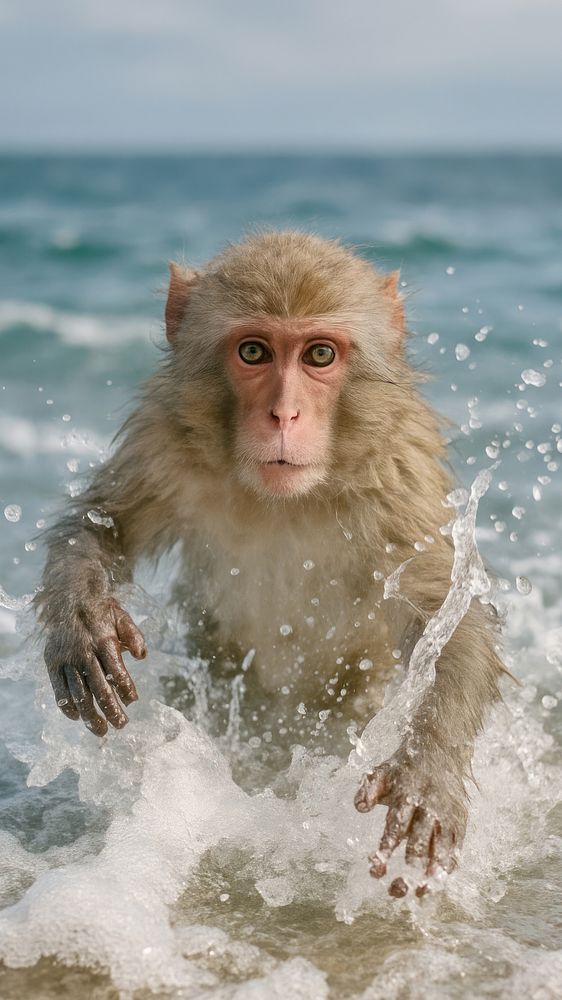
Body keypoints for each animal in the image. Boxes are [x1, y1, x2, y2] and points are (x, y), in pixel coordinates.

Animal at [36, 231, 504, 897]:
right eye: (254, 352)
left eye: (319, 355)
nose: (284, 415)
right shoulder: (165, 439)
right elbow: (104, 526)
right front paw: (81, 619)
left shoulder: (398, 469)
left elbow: (446, 612)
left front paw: (427, 771)